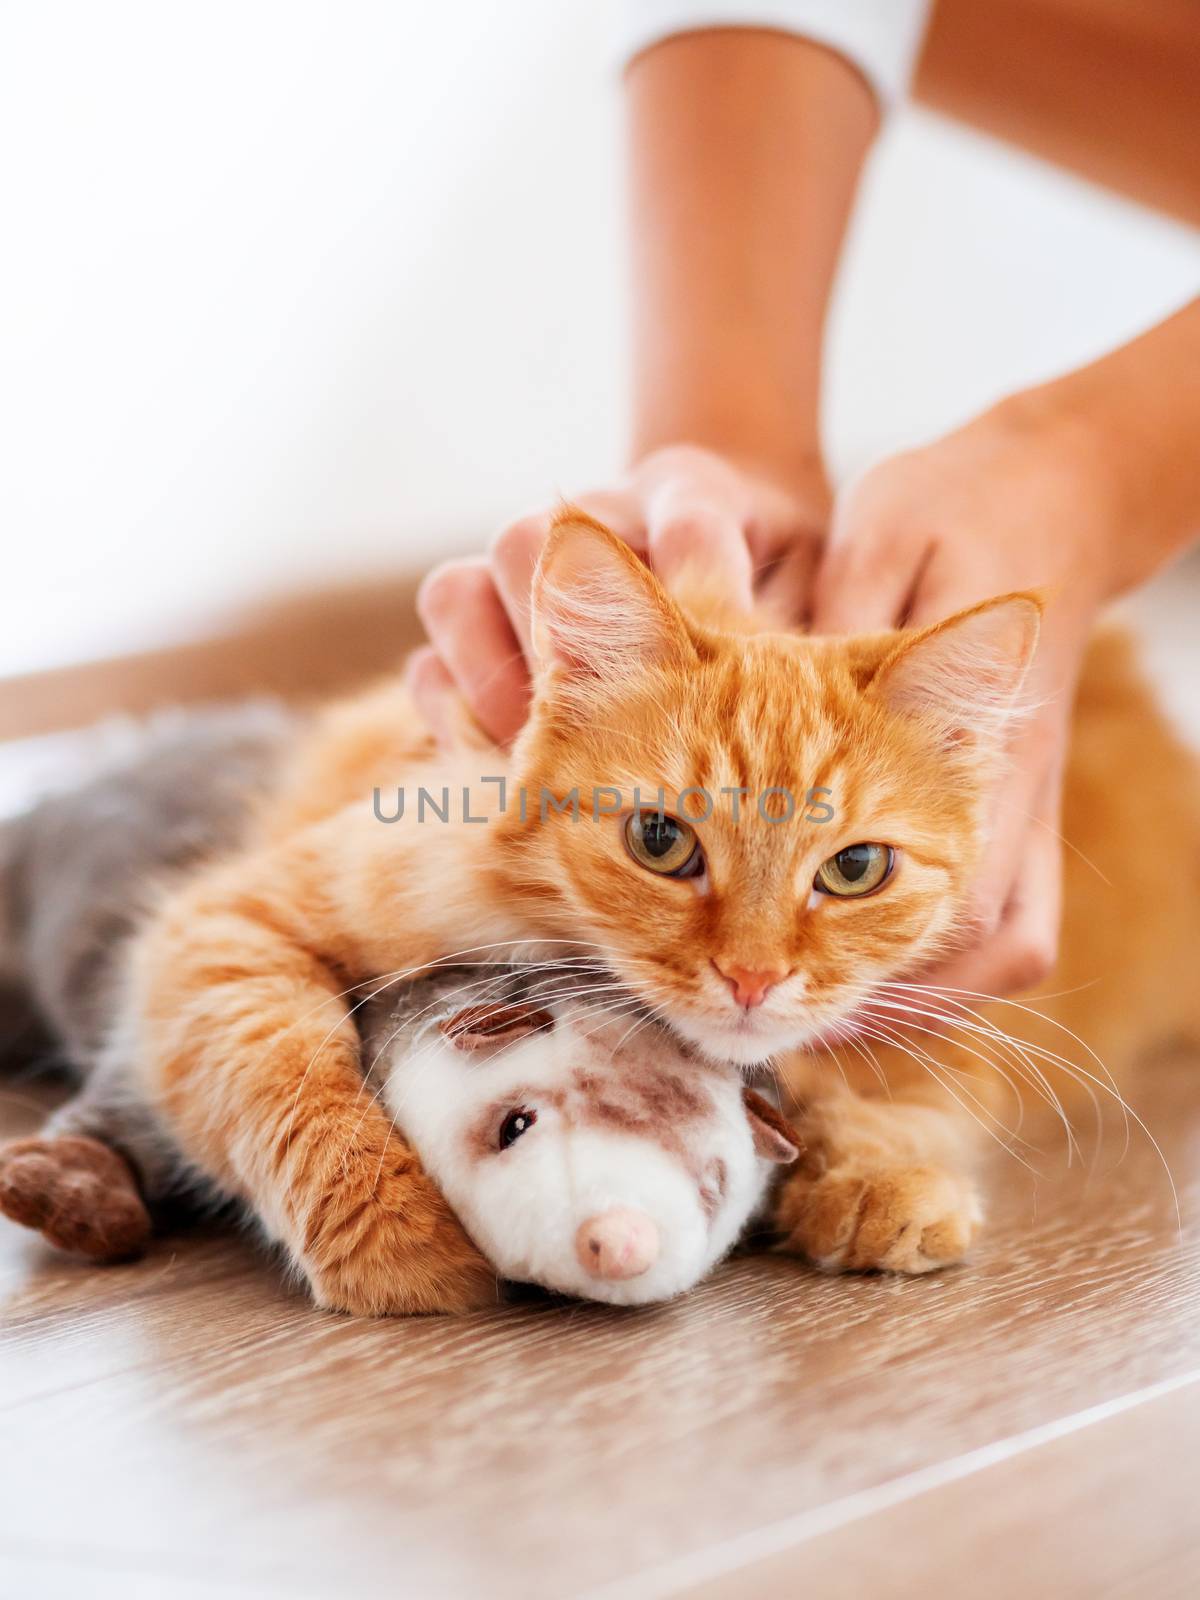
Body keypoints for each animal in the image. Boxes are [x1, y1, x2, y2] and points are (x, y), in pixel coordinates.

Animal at [115, 512, 1200, 1312]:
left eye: (854, 868)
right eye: (660, 841)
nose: (753, 977)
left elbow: (899, 1090)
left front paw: (879, 1182)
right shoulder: (227, 929)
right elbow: (296, 1088)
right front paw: (403, 1245)